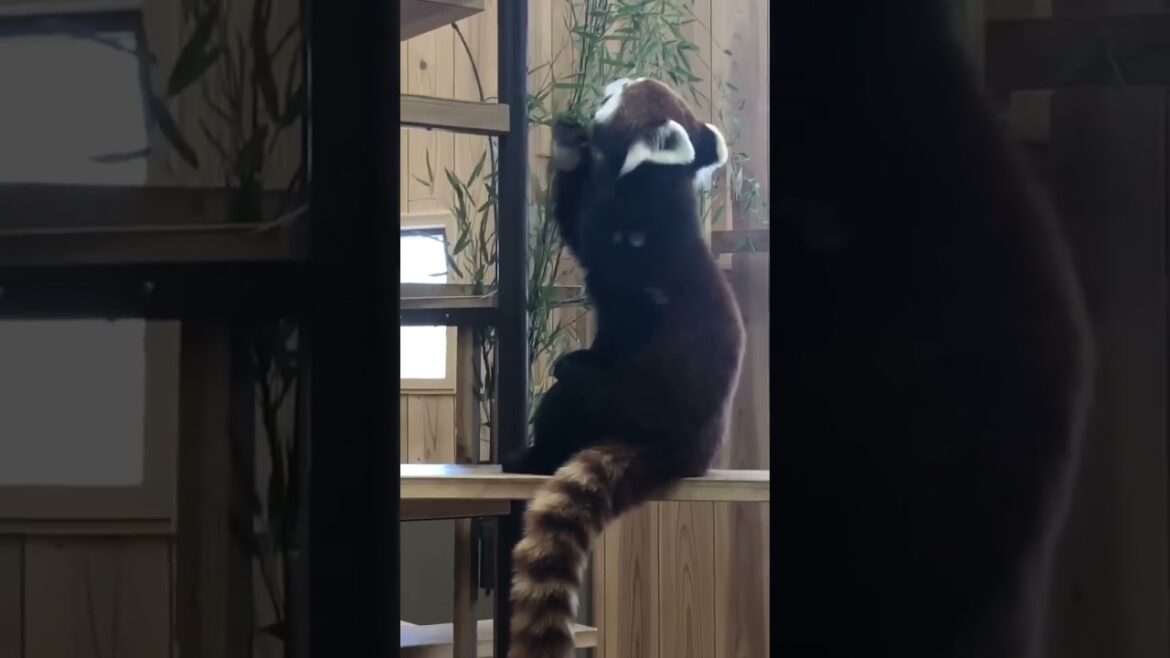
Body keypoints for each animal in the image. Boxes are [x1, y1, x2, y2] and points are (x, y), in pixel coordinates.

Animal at [501, 77, 746, 658]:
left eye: (622, 93)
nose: (613, 80)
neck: (653, 181)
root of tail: (686, 453)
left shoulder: (635, 248)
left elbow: (596, 260)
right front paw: (568, 144)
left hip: (630, 402)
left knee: (569, 400)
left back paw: (533, 450)